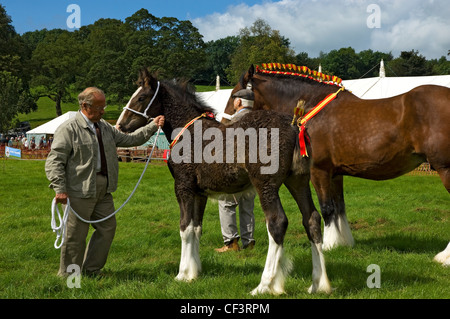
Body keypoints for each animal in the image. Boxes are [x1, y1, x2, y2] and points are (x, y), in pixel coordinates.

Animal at [116, 69, 334, 296]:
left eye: (141, 97)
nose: (120, 125)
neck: (189, 131)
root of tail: (294, 126)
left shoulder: (183, 187)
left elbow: (185, 228)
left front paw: (182, 274)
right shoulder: (200, 193)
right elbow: (196, 228)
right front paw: (195, 272)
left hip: (266, 185)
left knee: (277, 222)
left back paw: (265, 285)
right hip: (297, 182)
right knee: (312, 219)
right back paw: (319, 284)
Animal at [224, 64, 450, 264]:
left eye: (234, 95)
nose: (225, 124)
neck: (312, 107)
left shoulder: (319, 171)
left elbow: (327, 208)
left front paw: (328, 244)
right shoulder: (336, 174)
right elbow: (340, 206)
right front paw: (344, 242)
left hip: (445, 169)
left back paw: (444, 258)